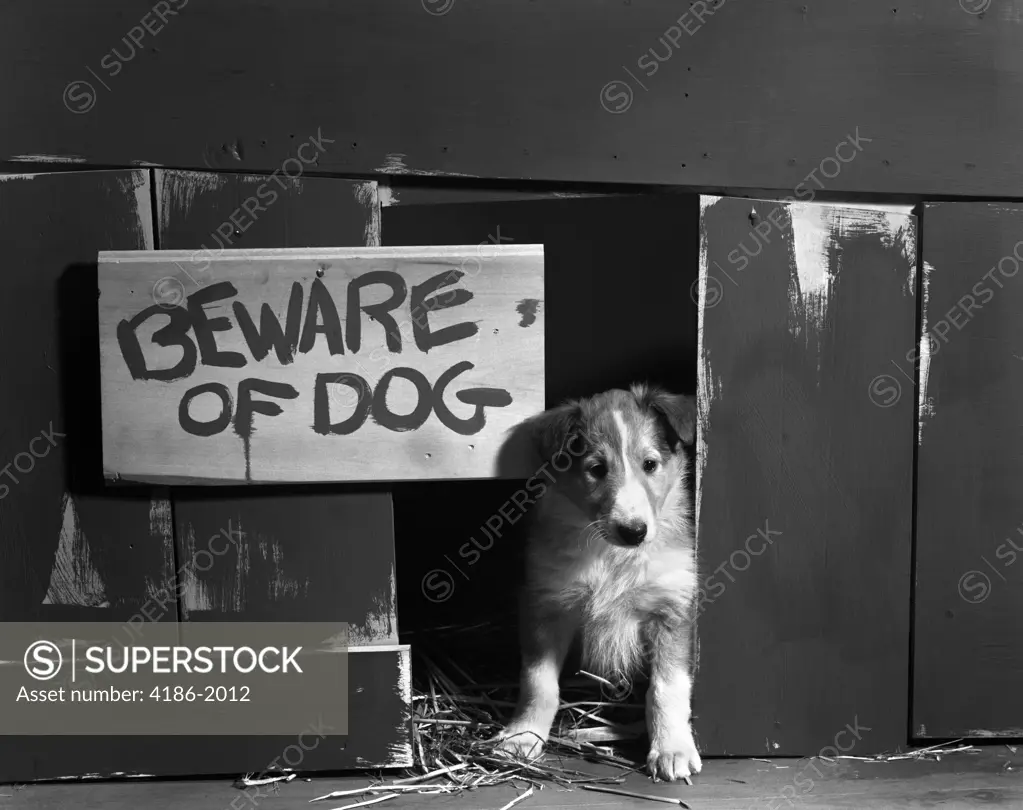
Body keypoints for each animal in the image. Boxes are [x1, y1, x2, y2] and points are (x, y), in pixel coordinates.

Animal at [495, 382, 703, 781]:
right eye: (596, 469)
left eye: (650, 464)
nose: (634, 532)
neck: (611, 556)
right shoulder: (546, 606)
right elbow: (538, 682)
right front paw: (522, 735)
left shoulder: (671, 610)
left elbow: (667, 688)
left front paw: (672, 749)